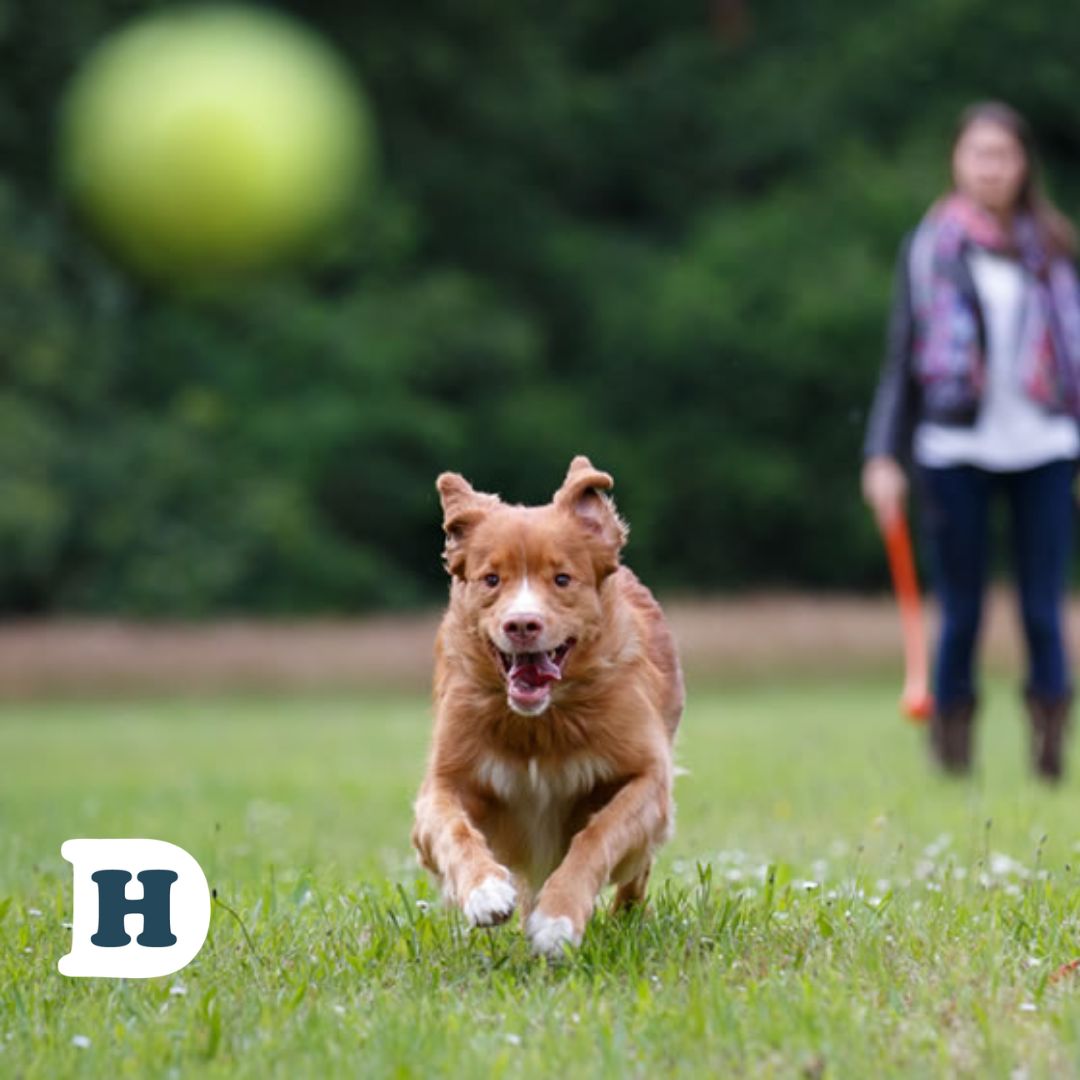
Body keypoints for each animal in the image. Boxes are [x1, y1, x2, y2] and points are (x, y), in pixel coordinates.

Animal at [412, 453, 682, 954]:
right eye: (491, 579)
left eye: (562, 579)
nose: (522, 624)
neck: (541, 723)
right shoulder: (444, 779)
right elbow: (452, 827)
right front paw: (485, 891)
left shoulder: (647, 777)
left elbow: (598, 834)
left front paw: (558, 919)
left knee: (637, 870)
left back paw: (626, 917)